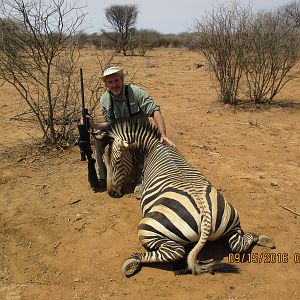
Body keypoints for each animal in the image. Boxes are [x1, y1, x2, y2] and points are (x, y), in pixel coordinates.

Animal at [98, 119, 274, 276]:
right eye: (104, 160)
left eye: (117, 161)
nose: (111, 193)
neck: (155, 146)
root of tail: (206, 219)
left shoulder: (141, 180)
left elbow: (138, 189)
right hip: (233, 218)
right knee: (238, 244)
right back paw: (262, 238)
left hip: (148, 227)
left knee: (176, 252)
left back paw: (133, 262)